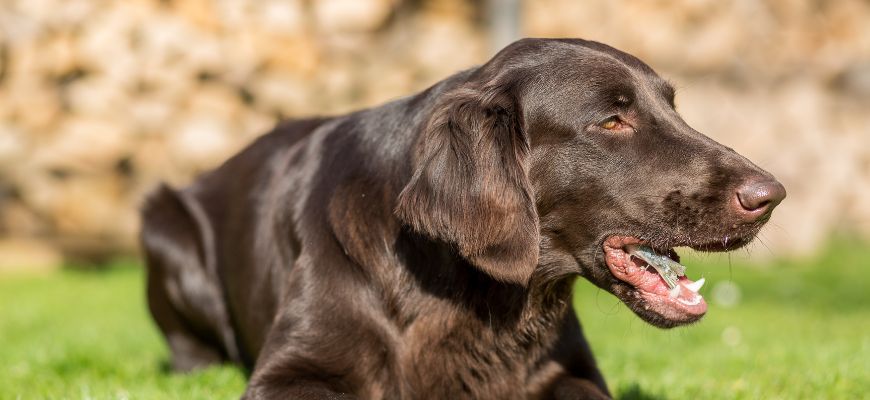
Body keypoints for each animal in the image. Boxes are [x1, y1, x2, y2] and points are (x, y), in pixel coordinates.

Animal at [141, 38, 784, 400]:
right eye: (611, 120)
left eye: (672, 108)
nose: (772, 194)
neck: (470, 294)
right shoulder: (291, 372)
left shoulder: (572, 372)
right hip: (165, 224)